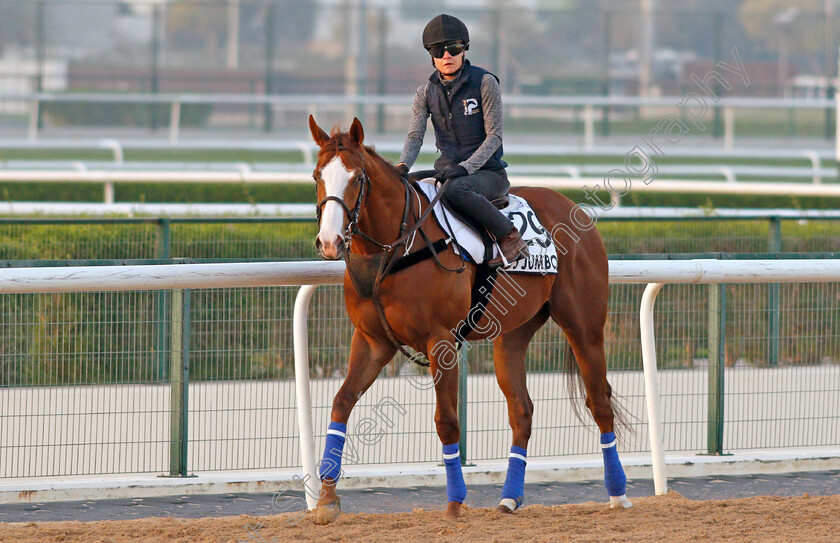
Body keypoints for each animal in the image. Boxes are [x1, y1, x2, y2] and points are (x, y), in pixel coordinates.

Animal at [308, 117, 632, 524]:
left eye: (356, 178)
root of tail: (571, 206)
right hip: (512, 334)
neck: (397, 251)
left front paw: (454, 501)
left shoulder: (441, 341)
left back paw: (618, 494)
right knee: (522, 410)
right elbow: (341, 402)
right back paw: (509, 498)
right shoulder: (372, 341)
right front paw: (326, 498)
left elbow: (447, 421)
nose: (329, 241)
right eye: (317, 175)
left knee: (599, 400)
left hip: (584, 325)